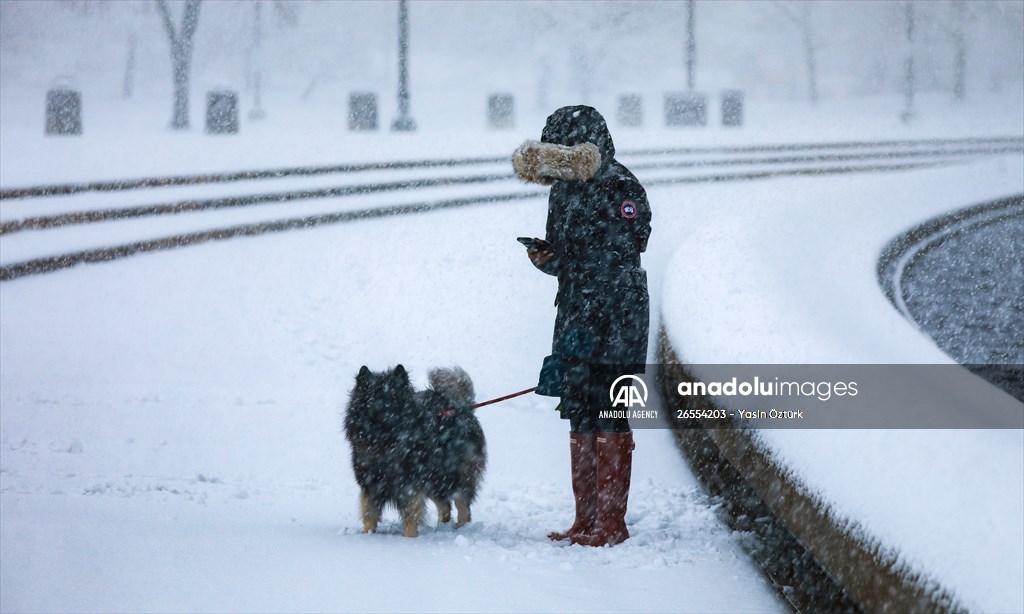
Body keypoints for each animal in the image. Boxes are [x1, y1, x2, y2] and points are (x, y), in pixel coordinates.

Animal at [344, 364, 487, 536]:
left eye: (393, 400)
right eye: (373, 400)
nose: (384, 415)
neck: (384, 443)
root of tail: (461, 405)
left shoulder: (408, 485)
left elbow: (411, 515)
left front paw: (410, 538)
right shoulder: (371, 483)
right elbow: (369, 515)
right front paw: (368, 535)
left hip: (457, 474)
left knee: (463, 506)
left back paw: (460, 530)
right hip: (434, 479)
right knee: (445, 505)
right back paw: (442, 528)